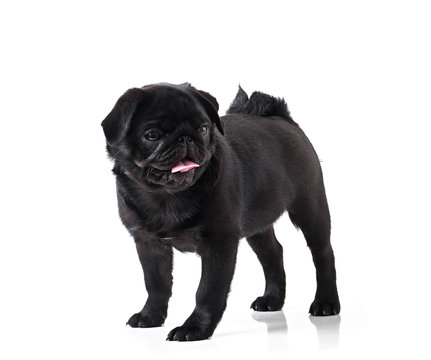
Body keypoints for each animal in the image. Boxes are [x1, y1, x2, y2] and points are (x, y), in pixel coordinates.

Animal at [102, 83, 340, 342]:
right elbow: (156, 284)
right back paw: (272, 299)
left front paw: (195, 328)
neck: (167, 196)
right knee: (273, 253)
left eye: (204, 129)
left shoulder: (219, 243)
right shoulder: (148, 243)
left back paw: (326, 303)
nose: (186, 138)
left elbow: (208, 290)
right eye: (152, 135)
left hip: (310, 206)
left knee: (322, 253)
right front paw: (150, 316)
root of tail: (281, 116)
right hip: (256, 222)